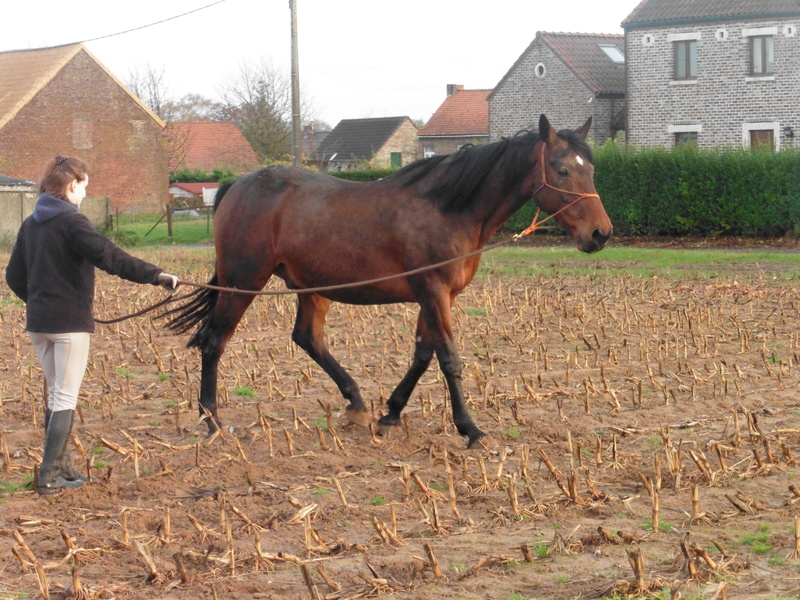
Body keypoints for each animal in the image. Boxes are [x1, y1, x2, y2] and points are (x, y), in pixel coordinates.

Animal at [166, 115, 608, 448]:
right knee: (214, 341)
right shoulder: (433, 292)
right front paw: (470, 428)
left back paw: (356, 403)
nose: (601, 233)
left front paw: (391, 412)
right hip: (243, 282)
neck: (448, 209)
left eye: (591, 169)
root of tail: (237, 186)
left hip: (312, 288)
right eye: (563, 170)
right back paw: (212, 421)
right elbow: (449, 359)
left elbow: (422, 355)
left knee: (308, 337)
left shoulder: (436, 296)